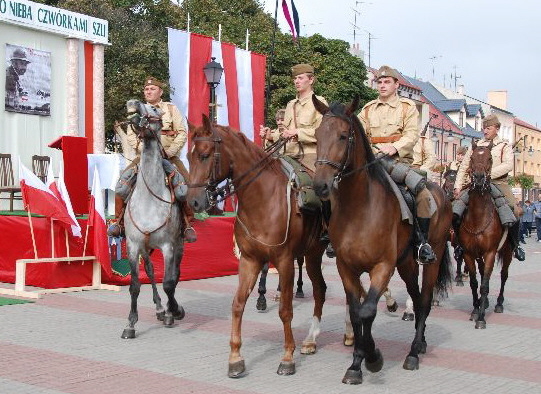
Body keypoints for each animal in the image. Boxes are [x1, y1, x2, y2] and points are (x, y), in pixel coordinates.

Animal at [120, 98, 186, 338]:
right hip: (145, 247)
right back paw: (159, 308)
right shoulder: (133, 245)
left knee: (175, 274)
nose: (133, 103)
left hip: (179, 243)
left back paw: (168, 309)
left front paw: (173, 312)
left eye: (155, 108)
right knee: (149, 270)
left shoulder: (168, 245)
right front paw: (130, 324)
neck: (149, 199)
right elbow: (135, 285)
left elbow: (169, 281)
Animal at [188, 115, 326, 378]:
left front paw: (287, 357)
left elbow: (285, 310)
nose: (194, 201)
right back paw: (312, 340)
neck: (263, 199)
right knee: (321, 290)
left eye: (205, 154)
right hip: (313, 254)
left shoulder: (285, 261)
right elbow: (237, 304)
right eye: (189, 157)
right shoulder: (249, 260)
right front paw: (235, 357)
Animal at [310, 96, 454, 384]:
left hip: (431, 258)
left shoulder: (383, 267)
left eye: (343, 136)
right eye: (318, 135)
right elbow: (357, 312)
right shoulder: (346, 268)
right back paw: (419, 343)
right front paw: (356, 363)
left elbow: (368, 310)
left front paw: (373, 357)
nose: (320, 186)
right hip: (406, 263)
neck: (359, 208)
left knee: (424, 299)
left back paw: (413, 353)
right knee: (416, 297)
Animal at [456, 142, 510, 330]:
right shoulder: (468, 253)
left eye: (490, 158)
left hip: (508, 252)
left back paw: (499, 303)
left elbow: (485, 285)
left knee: (504, 275)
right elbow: (474, 283)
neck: (478, 217)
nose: (479, 177)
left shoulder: (490, 253)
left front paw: (481, 318)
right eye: (472, 158)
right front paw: (475, 310)